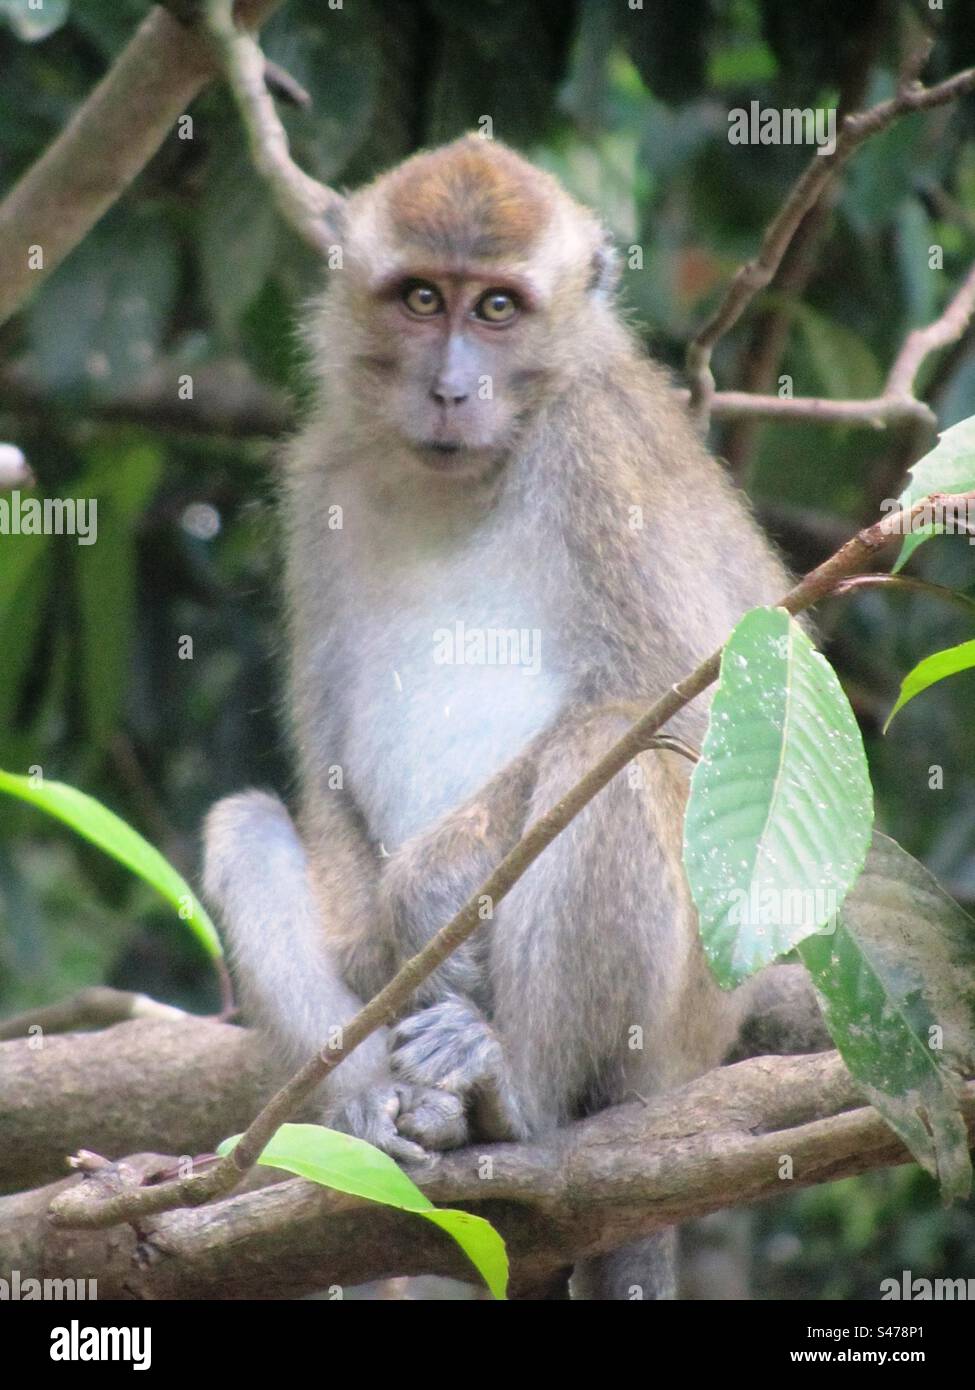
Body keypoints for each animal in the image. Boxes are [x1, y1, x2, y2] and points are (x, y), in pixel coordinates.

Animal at [202, 134, 794, 1300]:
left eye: (499, 309)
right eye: (423, 298)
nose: (449, 387)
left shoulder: (603, 449)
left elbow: (714, 711)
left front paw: (428, 896)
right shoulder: (322, 475)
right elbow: (326, 772)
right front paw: (376, 955)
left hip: (680, 1028)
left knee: (611, 748)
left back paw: (507, 1084)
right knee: (245, 826)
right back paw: (374, 1107)